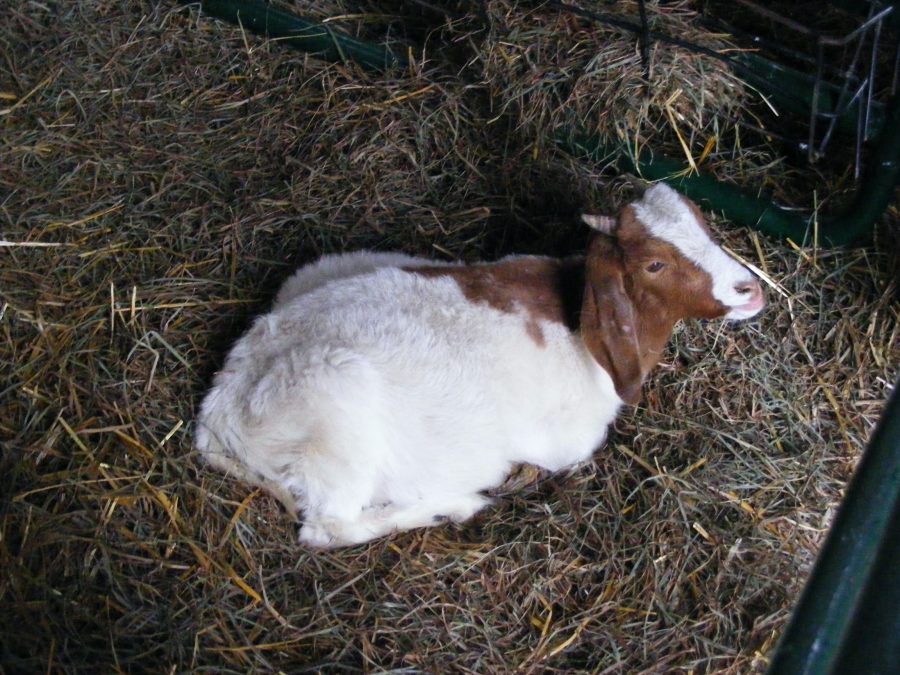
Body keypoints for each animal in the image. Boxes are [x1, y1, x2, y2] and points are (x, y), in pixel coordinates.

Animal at [195, 184, 765, 547]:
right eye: (654, 264)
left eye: (704, 224)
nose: (751, 289)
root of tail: (219, 407)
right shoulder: (567, 445)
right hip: (338, 427)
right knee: (329, 529)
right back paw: (452, 503)